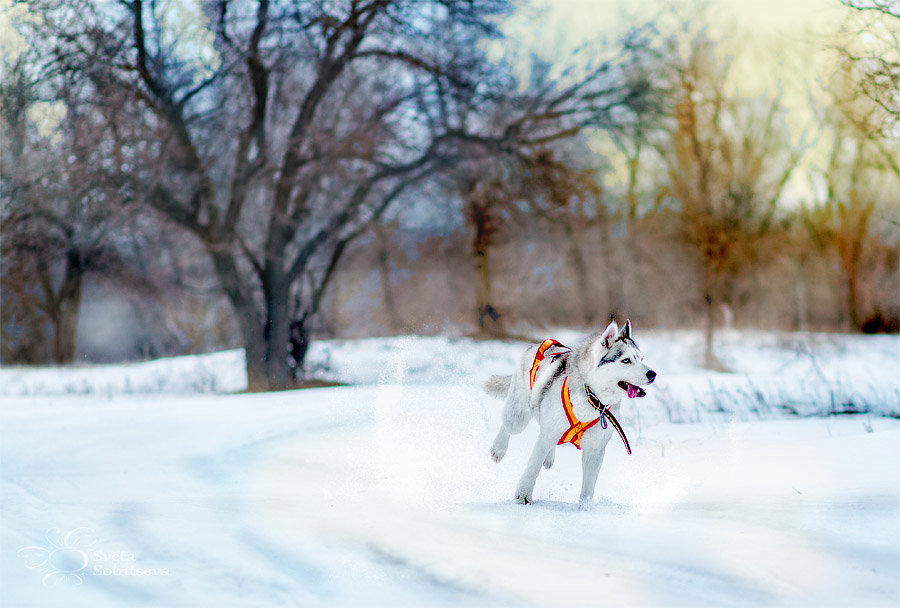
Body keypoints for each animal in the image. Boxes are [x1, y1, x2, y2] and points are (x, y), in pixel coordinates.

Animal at [486, 320, 652, 510]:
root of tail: (535, 345)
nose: (652, 374)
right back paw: (498, 449)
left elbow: (589, 485)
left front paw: (585, 508)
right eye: (626, 360)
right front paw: (523, 496)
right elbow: (532, 468)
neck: (591, 397)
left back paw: (548, 457)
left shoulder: (595, 450)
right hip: (518, 417)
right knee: (509, 426)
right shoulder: (548, 434)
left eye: (641, 359)